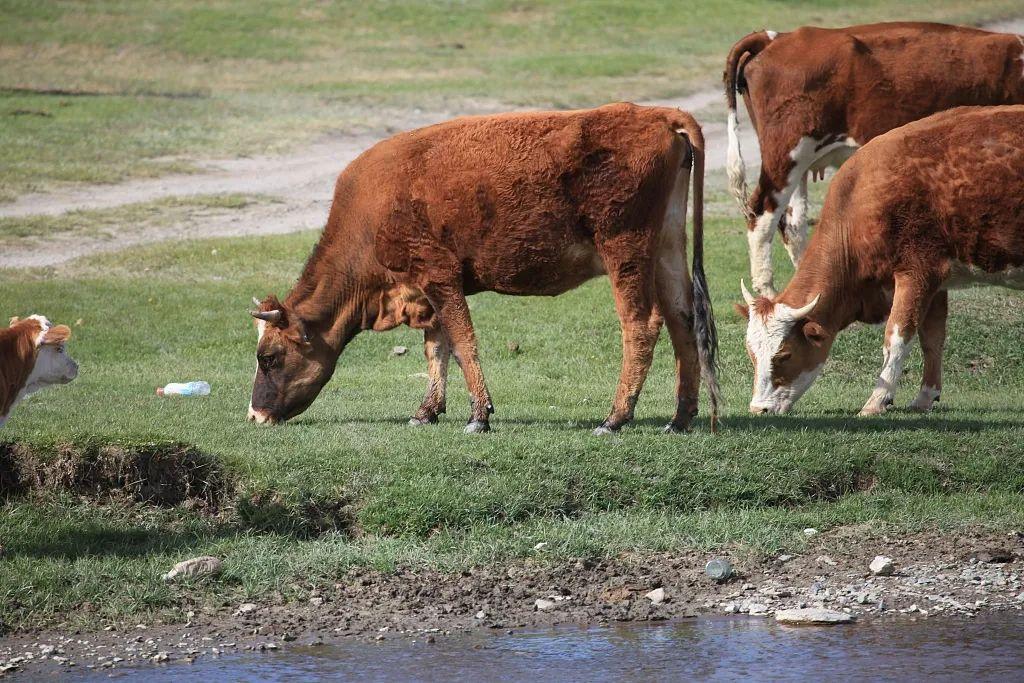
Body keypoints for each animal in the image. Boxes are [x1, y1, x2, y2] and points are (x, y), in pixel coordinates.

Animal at [248, 102, 724, 432]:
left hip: (623, 247)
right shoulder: (428, 289)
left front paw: (479, 414)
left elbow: (462, 343)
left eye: (268, 357)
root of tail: (656, 114)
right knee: (683, 320)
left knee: (641, 324)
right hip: (666, 247)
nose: (255, 415)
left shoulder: (439, 274)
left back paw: (616, 418)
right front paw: (427, 411)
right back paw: (680, 418)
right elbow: (437, 348)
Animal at [737, 105, 1024, 417]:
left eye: (785, 355)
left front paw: (877, 400)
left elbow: (897, 339)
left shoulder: (917, 274)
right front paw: (925, 396)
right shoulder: (937, 284)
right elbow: (932, 338)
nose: (758, 409)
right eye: (751, 354)